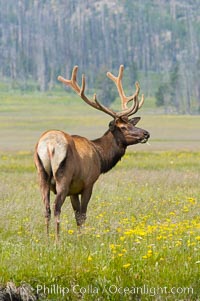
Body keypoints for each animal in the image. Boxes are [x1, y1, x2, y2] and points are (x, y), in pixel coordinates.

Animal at [34, 65, 150, 239]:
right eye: (123, 127)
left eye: (131, 123)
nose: (146, 133)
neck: (101, 157)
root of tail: (49, 145)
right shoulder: (88, 183)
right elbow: (82, 214)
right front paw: (82, 238)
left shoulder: (74, 190)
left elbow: (76, 214)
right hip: (63, 176)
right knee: (56, 207)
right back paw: (57, 240)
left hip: (42, 174)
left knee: (46, 208)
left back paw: (47, 239)